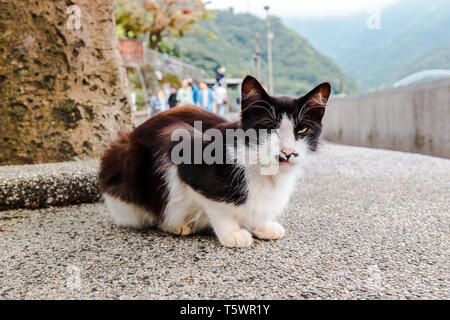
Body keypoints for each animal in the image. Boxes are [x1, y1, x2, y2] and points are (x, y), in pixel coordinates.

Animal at [99, 75, 330, 248]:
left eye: (302, 129)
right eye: (268, 128)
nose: (287, 152)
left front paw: (262, 224)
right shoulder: (182, 144)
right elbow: (216, 205)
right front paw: (232, 232)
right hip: (128, 159)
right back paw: (173, 224)